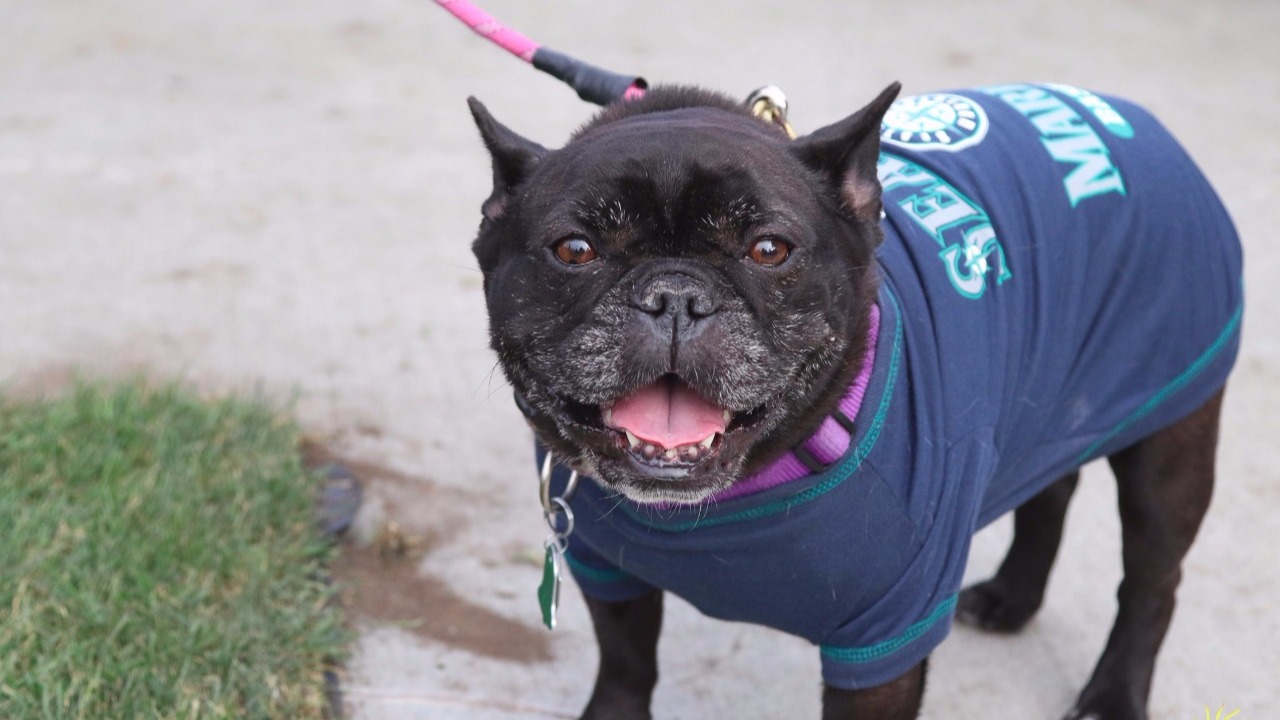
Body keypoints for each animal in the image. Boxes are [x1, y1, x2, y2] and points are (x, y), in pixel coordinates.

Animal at [468, 79, 1239, 717]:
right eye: (574, 250)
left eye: (769, 249)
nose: (674, 295)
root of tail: (1143, 124)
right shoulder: (609, 578)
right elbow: (627, 669)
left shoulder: (885, 641)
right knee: (1050, 486)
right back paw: (1013, 599)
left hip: (1170, 449)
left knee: (1151, 583)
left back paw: (1113, 695)